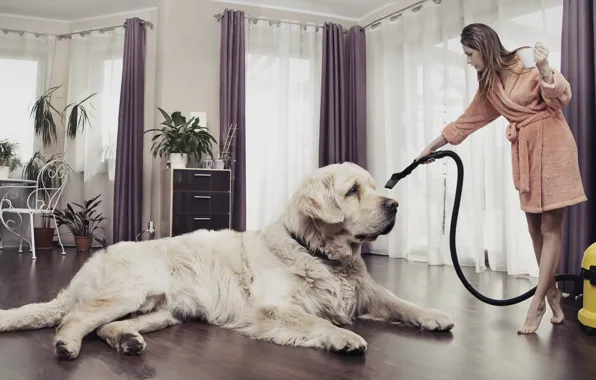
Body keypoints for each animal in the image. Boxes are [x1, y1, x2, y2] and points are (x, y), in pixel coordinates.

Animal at [0, 162, 452, 358]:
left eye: (375, 187)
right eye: (353, 190)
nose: (394, 205)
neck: (323, 256)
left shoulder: (366, 290)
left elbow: (398, 301)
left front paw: (433, 315)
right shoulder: (274, 307)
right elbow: (315, 320)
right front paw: (343, 336)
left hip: (160, 310)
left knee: (106, 327)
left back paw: (127, 340)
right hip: (128, 292)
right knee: (74, 320)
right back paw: (66, 345)